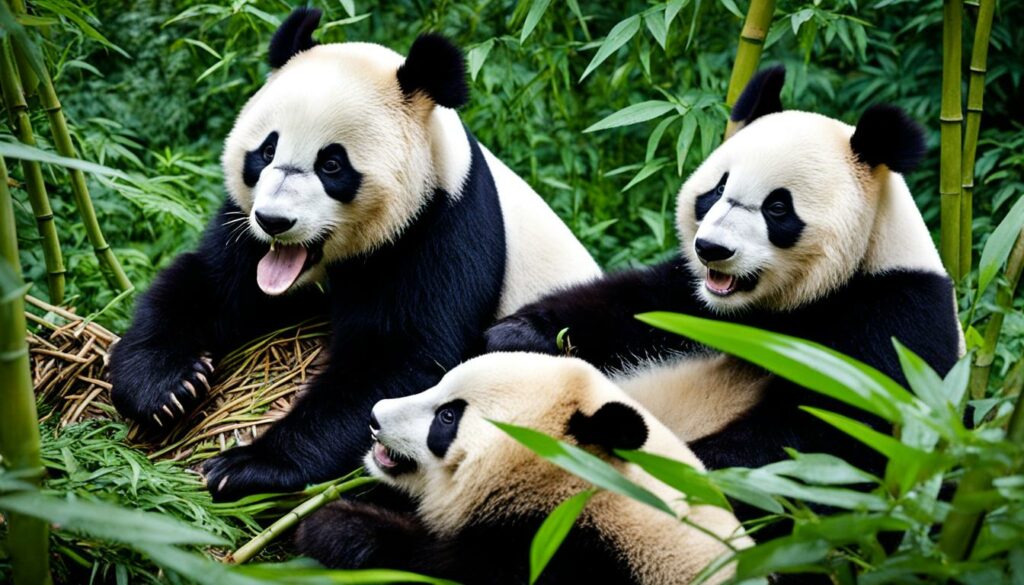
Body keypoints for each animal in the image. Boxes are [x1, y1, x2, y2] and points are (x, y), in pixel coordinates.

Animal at [103, 9, 598, 502]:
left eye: (332, 164)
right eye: (266, 150)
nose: (274, 220)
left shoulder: (443, 227)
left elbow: (399, 363)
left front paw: (245, 465)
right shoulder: (244, 229)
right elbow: (207, 283)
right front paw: (165, 386)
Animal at [483, 66, 962, 502]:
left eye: (777, 208)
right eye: (717, 190)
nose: (711, 249)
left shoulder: (894, 319)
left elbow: (824, 440)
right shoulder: (689, 295)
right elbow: (627, 306)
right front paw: (518, 336)